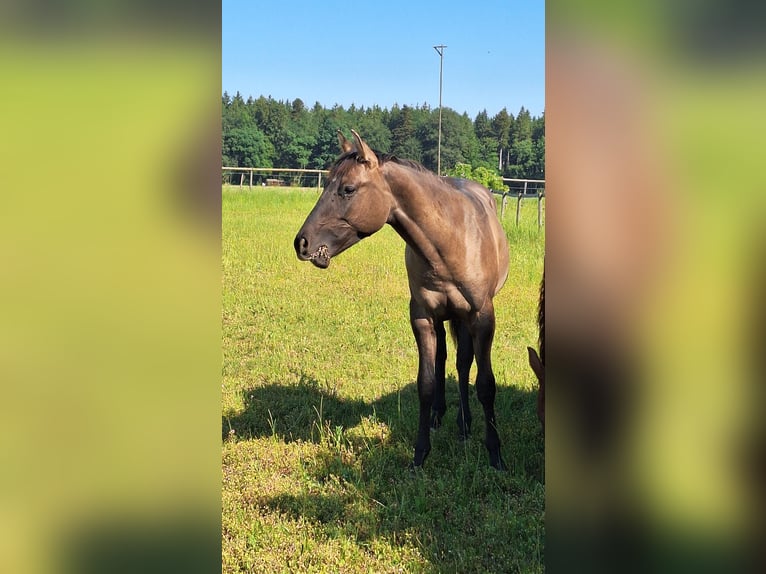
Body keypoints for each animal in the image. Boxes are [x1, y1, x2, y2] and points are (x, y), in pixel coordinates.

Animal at [294, 129, 510, 470]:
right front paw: (420, 453)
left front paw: (495, 453)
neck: (450, 239)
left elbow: (486, 385)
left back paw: (464, 423)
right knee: (446, 359)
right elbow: (426, 383)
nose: (302, 243)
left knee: (463, 364)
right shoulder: (422, 318)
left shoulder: (482, 317)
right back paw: (440, 416)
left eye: (347, 189)